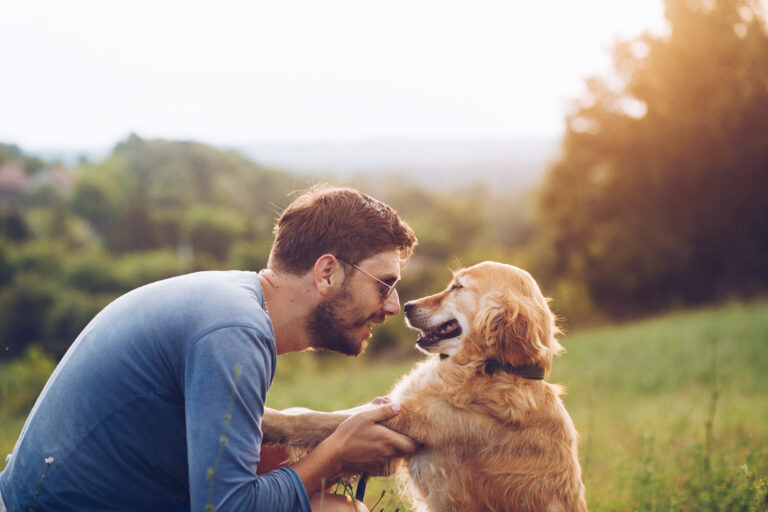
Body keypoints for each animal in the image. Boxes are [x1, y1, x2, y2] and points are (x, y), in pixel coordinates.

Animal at [264, 262, 588, 510]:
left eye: (458, 287)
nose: (406, 306)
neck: (490, 368)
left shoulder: (409, 419)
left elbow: (316, 421)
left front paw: (268, 420)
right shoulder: (397, 406)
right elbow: (327, 414)